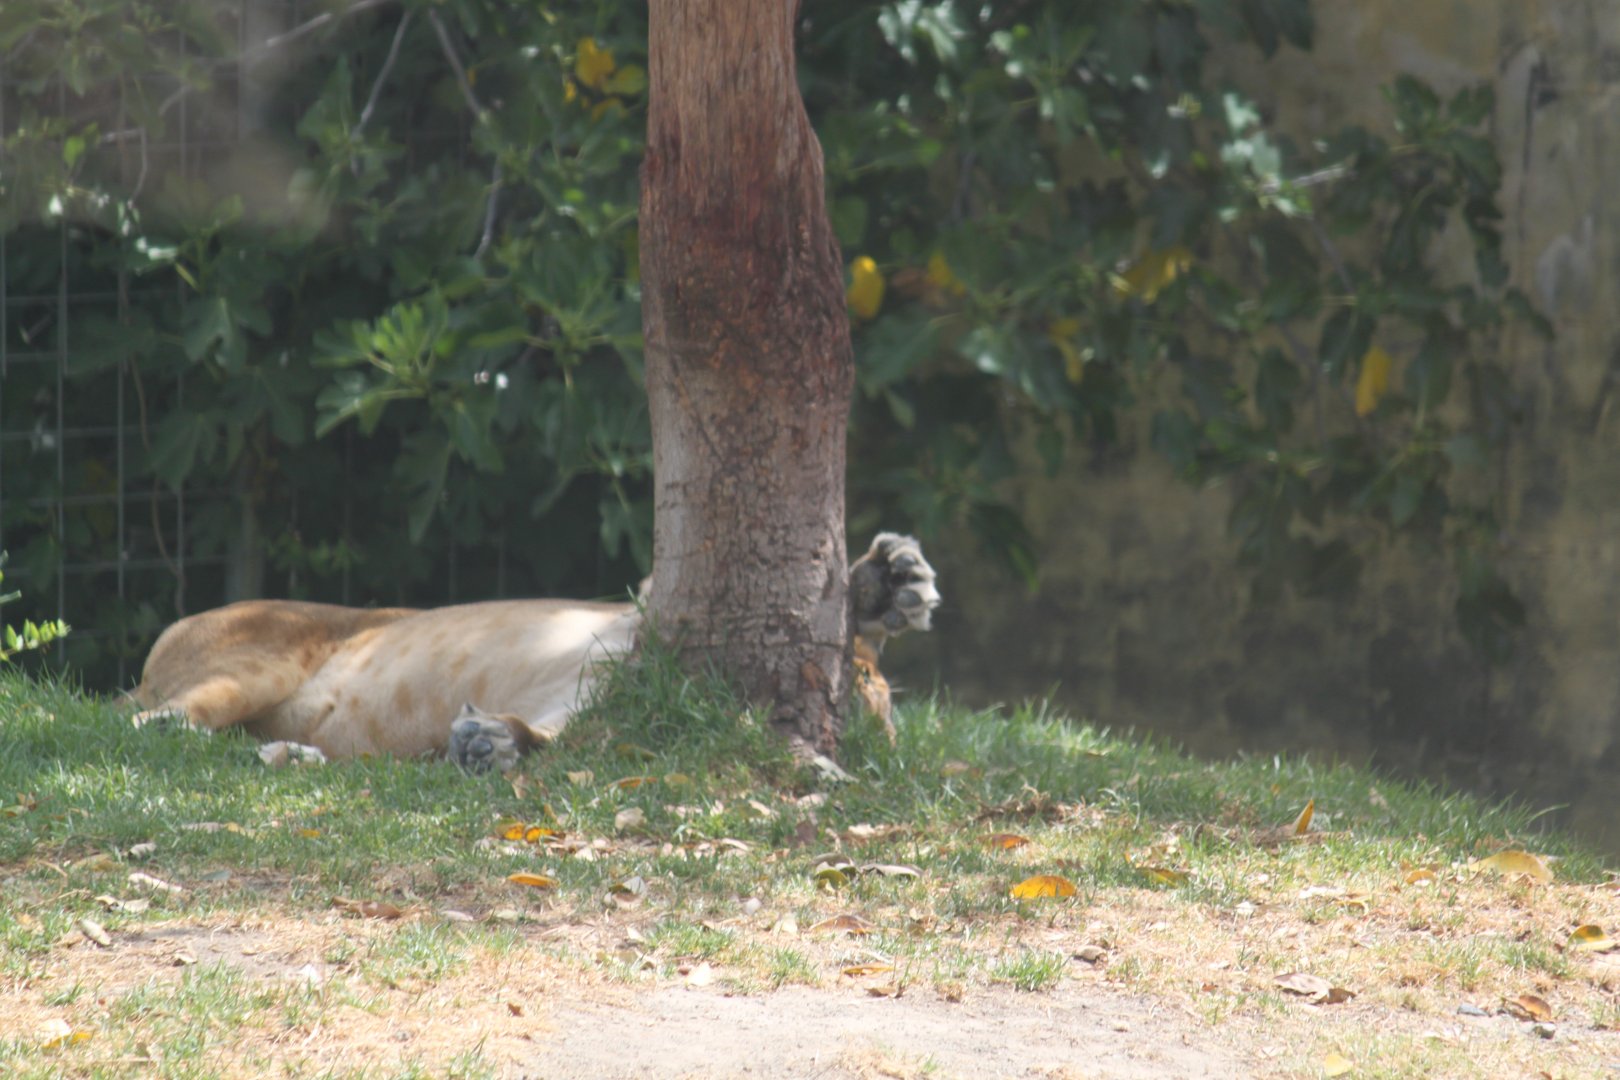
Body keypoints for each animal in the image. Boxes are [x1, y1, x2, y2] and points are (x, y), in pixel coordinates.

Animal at [131, 533, 940, 771]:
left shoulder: (576, 703)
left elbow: (556, 740)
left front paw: (489, 743)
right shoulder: (646, 601)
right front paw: (893, 581)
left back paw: (292, 756)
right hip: (252, 663)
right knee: (144, 726)